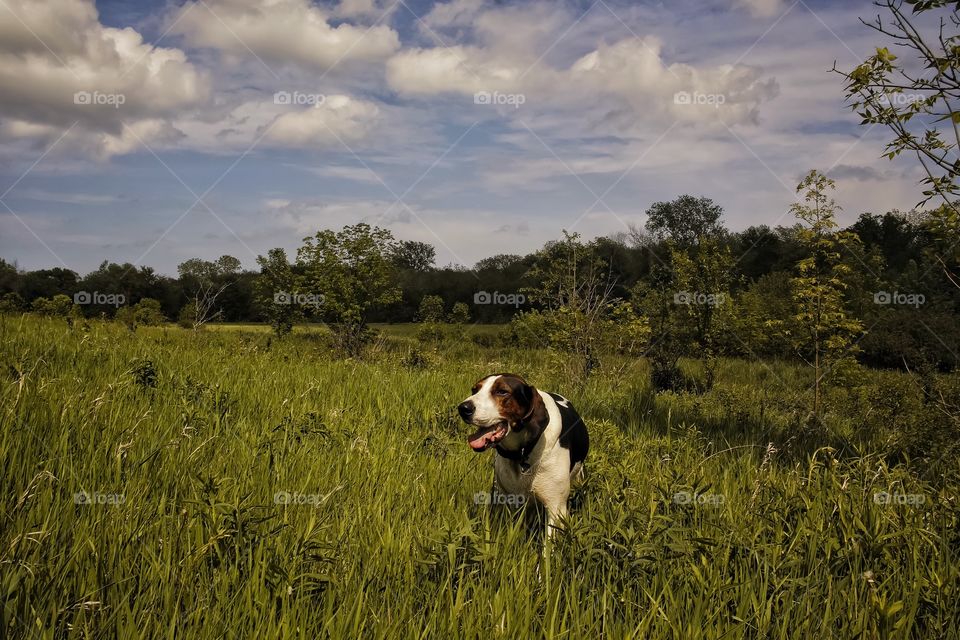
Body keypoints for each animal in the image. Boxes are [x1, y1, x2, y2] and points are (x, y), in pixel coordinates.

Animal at [456, 372, 584, 536]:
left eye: (502, 391)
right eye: (474, 390)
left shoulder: (556, 508)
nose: (463, 408)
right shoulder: (509, 500)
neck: (522, 454)